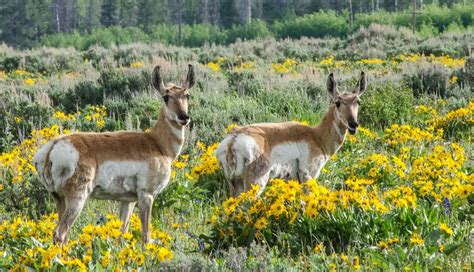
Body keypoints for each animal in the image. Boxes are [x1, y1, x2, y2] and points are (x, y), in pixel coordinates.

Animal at [34, 65, 195, 243]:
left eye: (187, 95)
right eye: (166, 97)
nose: (184, 117)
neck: (157, 143)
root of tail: (53, 147)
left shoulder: (128, 201)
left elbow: (122, 233)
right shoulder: (146, 195)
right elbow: (146, 236)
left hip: (59, 199)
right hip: (77, 198)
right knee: (60, 233)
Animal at [215, 71, 366, 196]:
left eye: (358, 102)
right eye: (338, 102)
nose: (353, 124)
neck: (316, 136)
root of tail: (233, 141)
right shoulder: (308, 176)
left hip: (234, 185)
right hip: (256, 183)